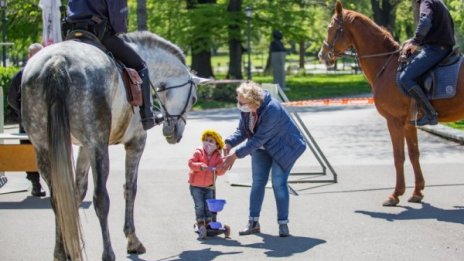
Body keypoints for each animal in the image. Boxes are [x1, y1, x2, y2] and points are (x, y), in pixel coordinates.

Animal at [21, 31, 202, 260]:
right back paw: (108, 252)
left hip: (45, 149)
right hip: (99, 148)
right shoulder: (135, 142)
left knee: (57, 200)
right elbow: (130, 188)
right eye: (194, 98)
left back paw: (61, 253)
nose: (174, 133)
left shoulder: (83, 148)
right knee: (101, 199)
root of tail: (57, 61)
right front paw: (132, 240)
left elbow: (76, 193)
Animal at [320, 1, 464, 206]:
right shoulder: (409, 124)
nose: (322, 55)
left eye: (331, 28)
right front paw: (417, 192)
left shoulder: (394, 121)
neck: (386, 65)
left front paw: (395, 194)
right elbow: (413, 154)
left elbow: (398, 156)